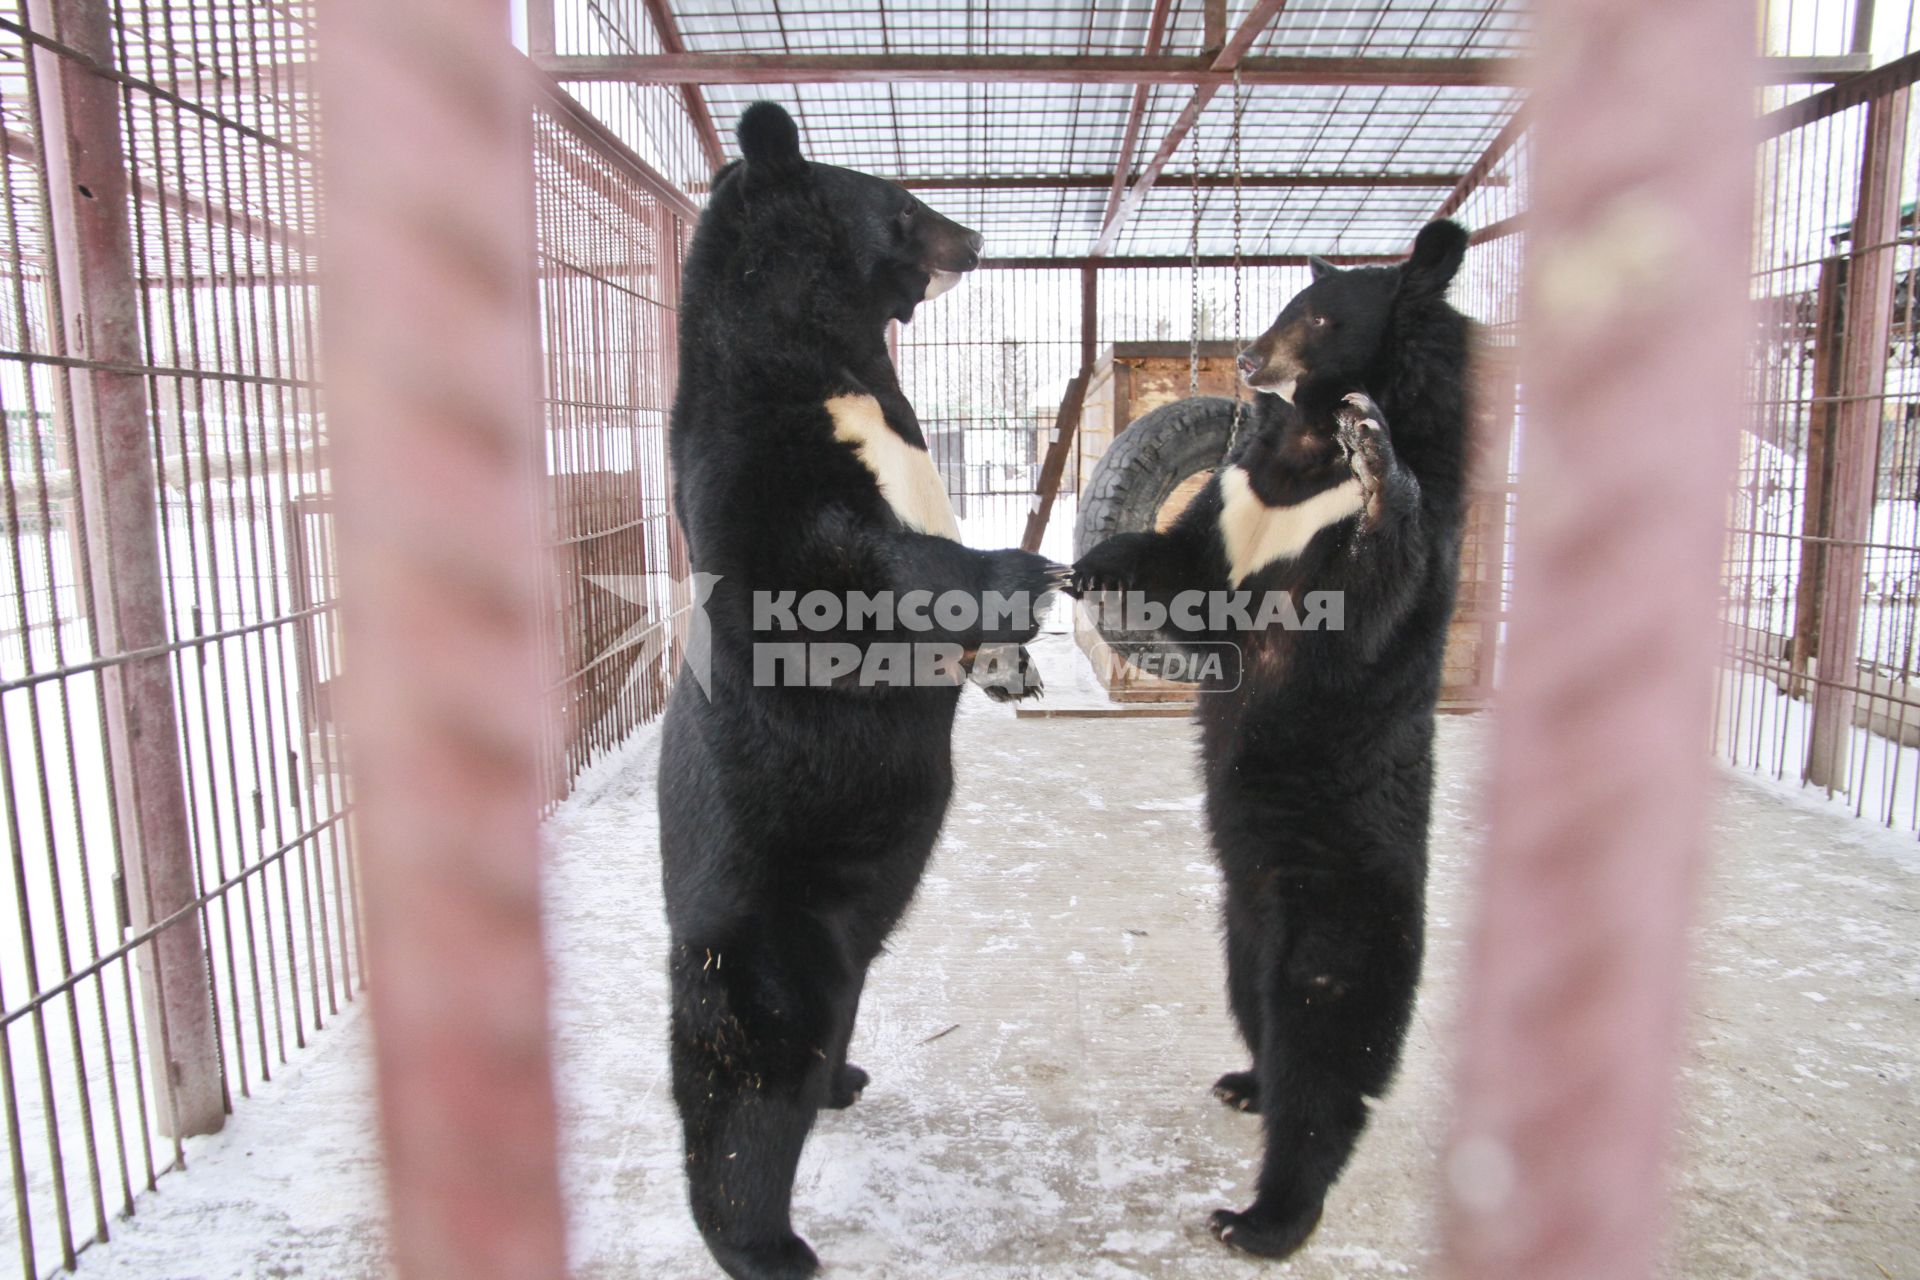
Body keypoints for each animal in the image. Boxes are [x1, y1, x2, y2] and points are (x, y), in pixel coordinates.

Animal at [1082, 217, 1466, 1258]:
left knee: (1326, 1081)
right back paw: (1244, 1081)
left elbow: (1373, 592)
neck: (1300, 453)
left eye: (1323, 319)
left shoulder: (1366, 555)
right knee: (1260, 1020)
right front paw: (1087, 564)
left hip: (1332, 937)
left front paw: (1376, 456)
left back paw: (1260, 1218)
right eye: (1289, 304)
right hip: (1240, 934)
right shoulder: (1237, 501)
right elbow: (1180, 573)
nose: (1249, 362)